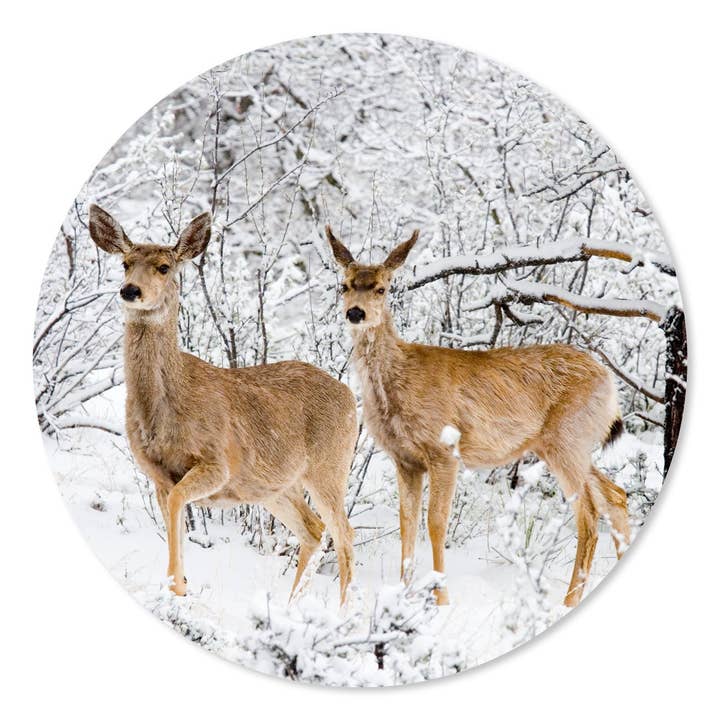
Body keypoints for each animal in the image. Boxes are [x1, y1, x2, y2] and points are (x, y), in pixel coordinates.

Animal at [87, 205, 357, 604]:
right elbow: (174, 518)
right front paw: (179, 588)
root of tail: (352, 396)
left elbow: (177, 505)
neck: (166, 408)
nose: (130, 290)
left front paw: (176, 587)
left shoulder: (218, 462)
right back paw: (290, 607)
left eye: (164, 267)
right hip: (274, 485)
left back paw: (341, 611)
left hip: (329, 466)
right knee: (313, 528)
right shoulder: (157, 474)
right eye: (125, 262)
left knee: (344, 533)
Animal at [325, 225, 630, 608]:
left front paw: (442, 601)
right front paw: (403, 595)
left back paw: (566, 602)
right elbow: (406, 522)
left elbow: (435, 523)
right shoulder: (405, 459)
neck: (398, 381)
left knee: (588, 515)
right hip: (564, 444)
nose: (355, 313)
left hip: (568, 439)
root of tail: (609, 383)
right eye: (344, 285)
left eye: (382, 287)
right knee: (616, 496)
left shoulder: (444, 450)